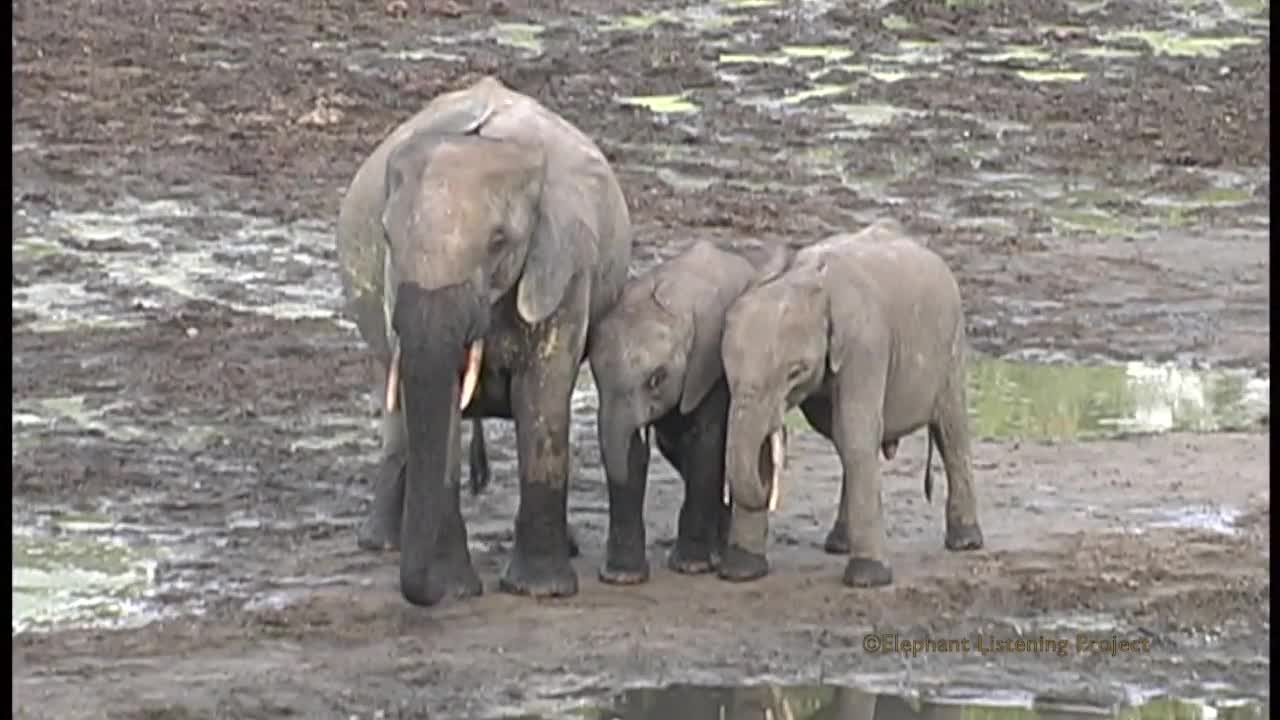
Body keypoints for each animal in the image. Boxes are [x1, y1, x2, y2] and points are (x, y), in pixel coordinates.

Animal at [330, 77, 629, 604]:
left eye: (498, 242)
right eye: (387, 239)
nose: (425, 593)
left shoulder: (566, 267)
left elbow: (543, 395)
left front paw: (539, 591)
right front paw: (453, 590)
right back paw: (380, 543)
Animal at [586, 238, 788, 579]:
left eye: (656, 378)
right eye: (594, 373)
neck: (675, 292)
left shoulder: (711, 366)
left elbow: (706, 444)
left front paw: (692, 566)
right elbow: (641, 451)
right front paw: (623, 578)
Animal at [716, 220, 983, 589]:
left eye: (795, 371)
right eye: (727, 368)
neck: (806, 279)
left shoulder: (865, 346)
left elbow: (857, 431)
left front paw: (868, 579)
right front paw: (741, 572)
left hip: (952, 348)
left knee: (950, 432)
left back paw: (966, 542)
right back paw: (839, 544)